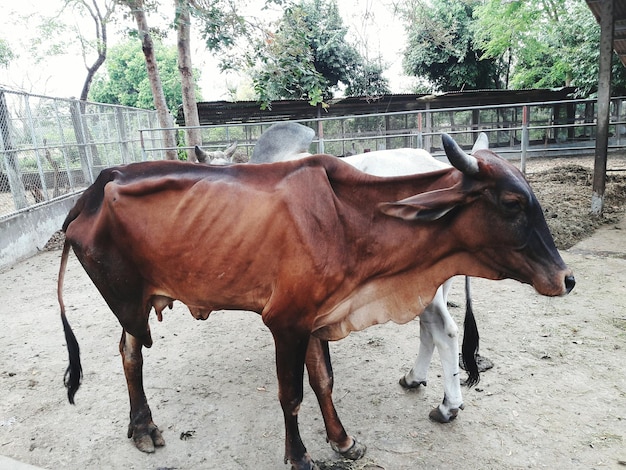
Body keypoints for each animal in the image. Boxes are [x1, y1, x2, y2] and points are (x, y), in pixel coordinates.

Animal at [57, 133, 572, 470]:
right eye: (511, 203)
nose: (566, 279)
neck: (348, 220)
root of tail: (94, 189)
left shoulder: (315, 317)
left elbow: (323, 381)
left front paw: (343, 442)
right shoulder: (285, 323)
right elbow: (291, 395)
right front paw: (300, 456)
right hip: (130, 301)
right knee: (129, 353)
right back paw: (144, 428)